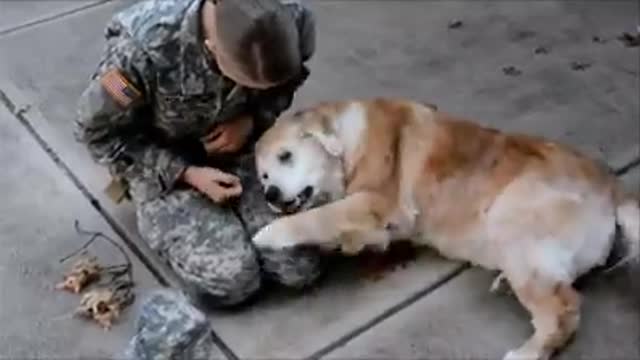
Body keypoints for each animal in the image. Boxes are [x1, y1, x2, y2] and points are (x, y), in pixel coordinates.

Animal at [249, 98, 636, 360]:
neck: (347, 142)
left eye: (286, 156)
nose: (270, 194)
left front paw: (268, 234)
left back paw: (529, 351)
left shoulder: (375, 202)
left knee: (564, 309)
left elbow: (316, 217)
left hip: (511, 217)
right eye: (263, 176)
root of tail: (613, 188)